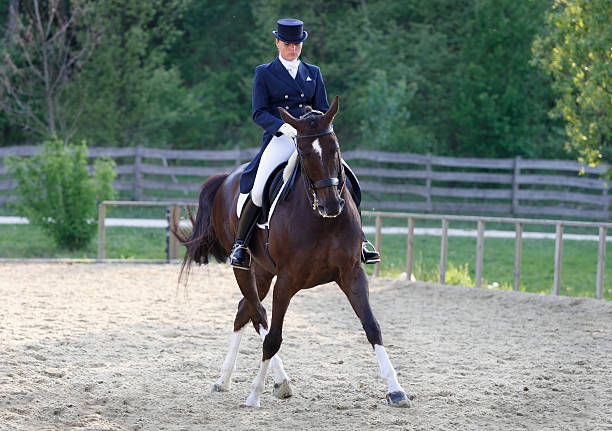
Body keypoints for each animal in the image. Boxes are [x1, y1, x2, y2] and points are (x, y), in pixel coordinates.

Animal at [175, 96, 408, 410]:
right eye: (305, 154)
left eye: (335, 148)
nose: (331, 205)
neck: (320, 220)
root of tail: (227, 178)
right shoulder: (286, 281)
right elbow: (273, 337)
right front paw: (255, 395)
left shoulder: (351, 273)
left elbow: (372, 326)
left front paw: (396, 390)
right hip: (244, 268)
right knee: (257, 314)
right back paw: (277, 381)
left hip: (263, 270)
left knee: (243, 311)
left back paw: (225, 380)